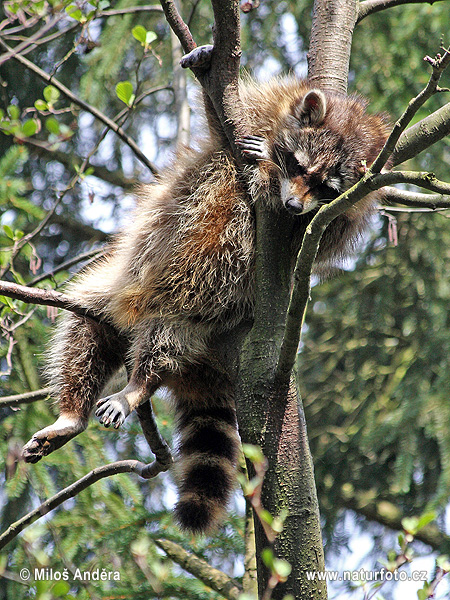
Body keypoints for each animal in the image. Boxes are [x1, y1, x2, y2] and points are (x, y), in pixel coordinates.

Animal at [20, 74, 386, 536]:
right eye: (299, 167)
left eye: (325, 187)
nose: (292, 205)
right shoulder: (262, 104)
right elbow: (220, 121)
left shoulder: (347, 210)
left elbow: (313, 238)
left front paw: (275, 188)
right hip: (117, 287)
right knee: (87, 326)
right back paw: (73, 412)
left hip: (202, 310)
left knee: (166, 338)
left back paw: (138, 385)